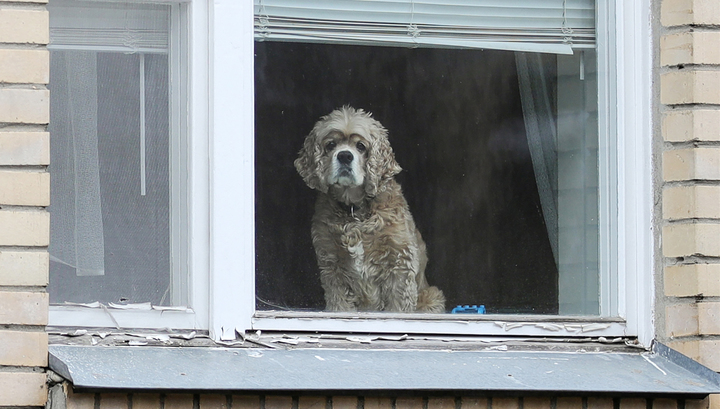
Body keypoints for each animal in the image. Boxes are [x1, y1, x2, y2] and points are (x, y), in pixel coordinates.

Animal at [294, 106, 444, 312]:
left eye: (361, 146)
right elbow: (339, 305)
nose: (345, 156)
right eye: (331, 145)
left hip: (433, 296)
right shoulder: (332, 266)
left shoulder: (399, 263)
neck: (354, 211)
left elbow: (397, 307)